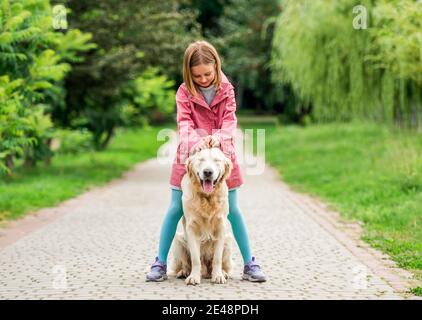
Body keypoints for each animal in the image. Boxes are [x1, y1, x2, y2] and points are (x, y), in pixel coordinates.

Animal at [171, 148, 234, 284]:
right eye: (201, 160)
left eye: (216, 160)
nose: (208, 172)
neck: (207, 197)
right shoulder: (191, 228)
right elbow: (195, 259)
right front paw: (193, 277)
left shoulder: (221, 227)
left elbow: (217, 258)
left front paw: (218, 276)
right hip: (178, 240)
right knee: (186, 263)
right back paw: (184, 272)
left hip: (228, 240)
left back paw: (223, 273)